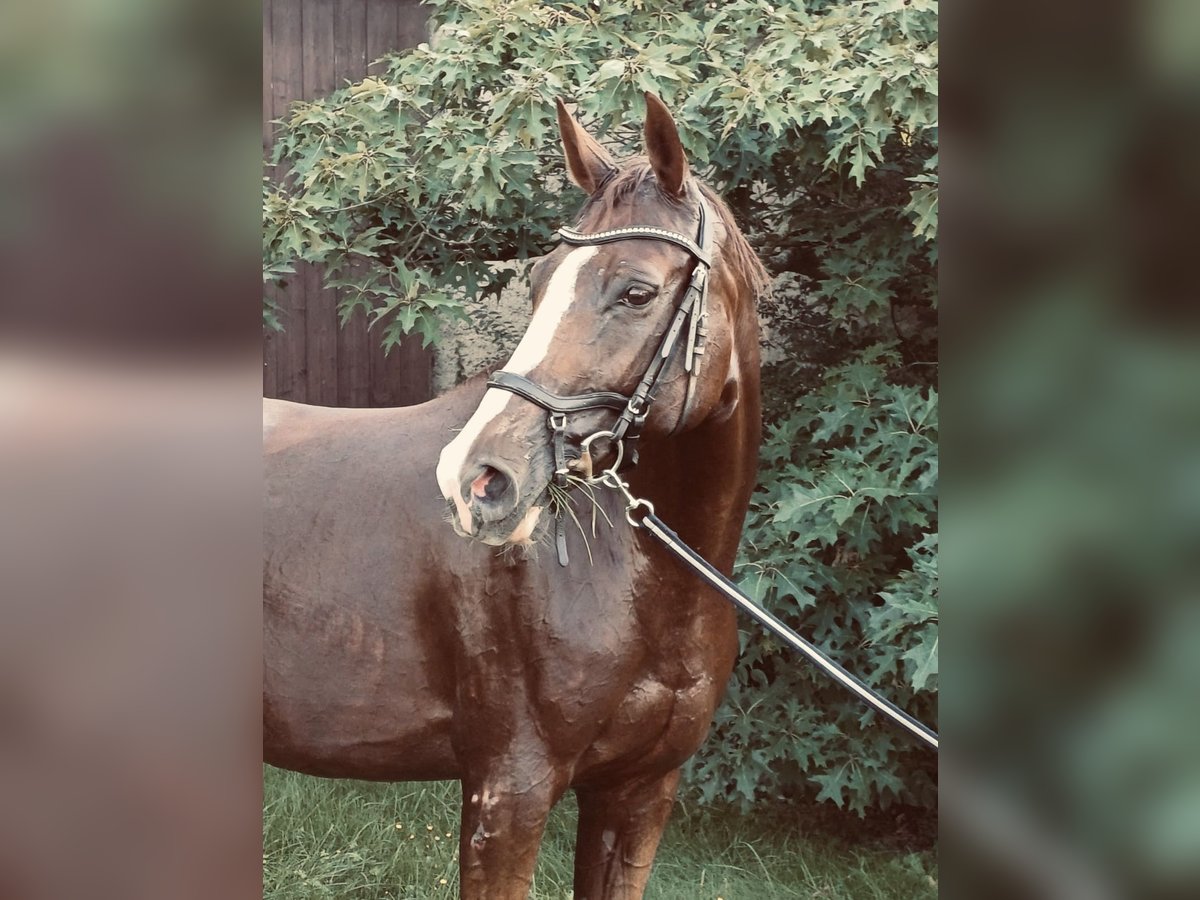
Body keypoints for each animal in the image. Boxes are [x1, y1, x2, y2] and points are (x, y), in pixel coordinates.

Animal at [264, 95, 768, 897]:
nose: (477, 478)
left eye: (637, 291)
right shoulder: (509, 792)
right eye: (536, 282)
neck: (642, 579)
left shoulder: (639, 794)